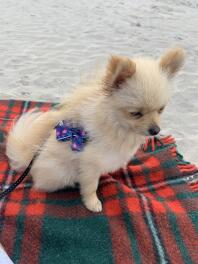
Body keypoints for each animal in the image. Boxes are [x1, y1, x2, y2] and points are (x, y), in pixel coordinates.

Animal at [6, 48, 186, 212]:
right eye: (135, 113)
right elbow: (91, 186)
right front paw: (92, 203)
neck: (117, 126)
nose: (155, 130)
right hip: (61, 172)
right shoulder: (89, 163)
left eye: (161, 109)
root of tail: (31, 159)